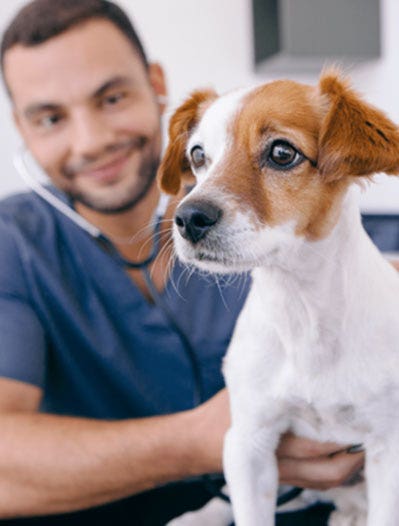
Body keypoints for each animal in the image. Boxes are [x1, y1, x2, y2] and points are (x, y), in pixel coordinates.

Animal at [157, 68, 399, 524]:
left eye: (282, 153)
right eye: (197, 156)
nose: (188, 217)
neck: (302, 309)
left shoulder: (388, 451)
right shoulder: (249, 442)